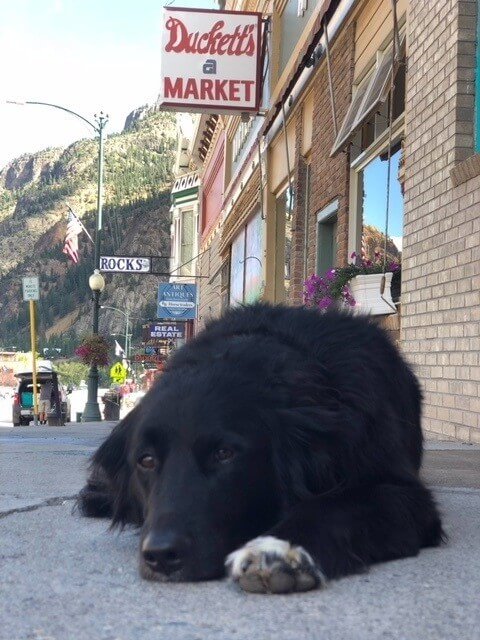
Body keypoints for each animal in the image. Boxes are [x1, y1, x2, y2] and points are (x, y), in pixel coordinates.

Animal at [79, 304, 442, 596]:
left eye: (225, 454)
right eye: (146, 460)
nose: (160, 555)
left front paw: (278, 550)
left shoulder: (404, 492)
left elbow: (336, 506)